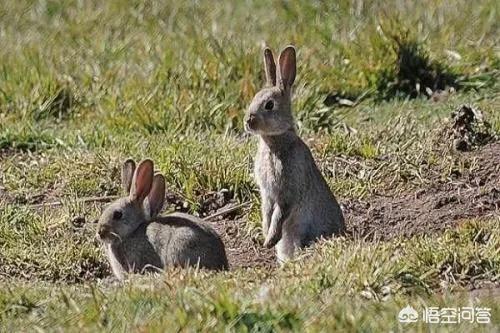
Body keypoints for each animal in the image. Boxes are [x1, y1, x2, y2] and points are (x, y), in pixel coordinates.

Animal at [245, 44, 346, 262]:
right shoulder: (267, 194)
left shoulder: (287, 190)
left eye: (269, 105)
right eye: (254, 98)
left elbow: (280, 213)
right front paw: (265, 236)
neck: (274, 142)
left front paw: (269, 240)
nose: (248, 121)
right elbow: (267, 212)